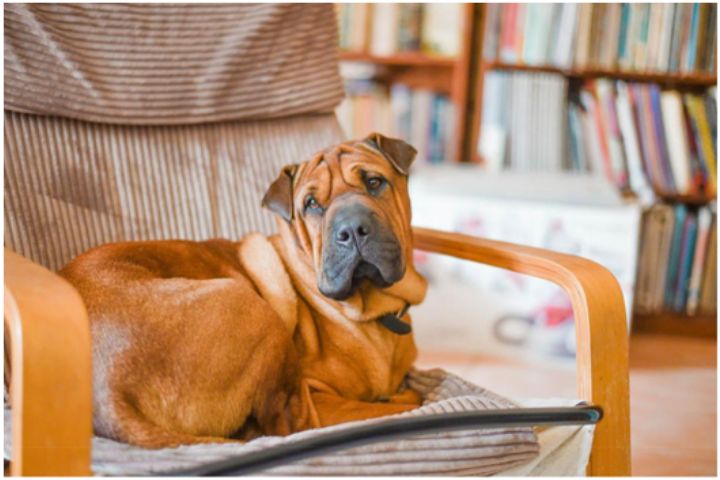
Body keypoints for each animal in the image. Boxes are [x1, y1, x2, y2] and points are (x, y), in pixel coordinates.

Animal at [60, 131, 428, 446]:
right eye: (311, 204)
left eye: (374, 182)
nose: (351, 229)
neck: (373, 309)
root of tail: (107, 395)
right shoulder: (324, 399)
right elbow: (390, 405)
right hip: (249, 305)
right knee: (288, 424)